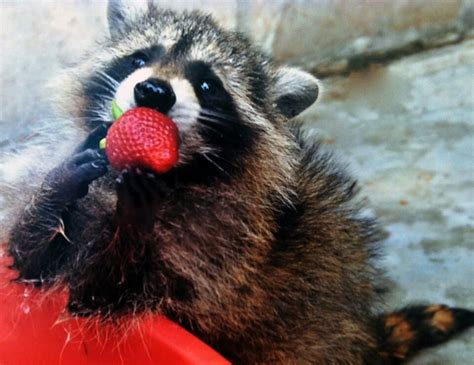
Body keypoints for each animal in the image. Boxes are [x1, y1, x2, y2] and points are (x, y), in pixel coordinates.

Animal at [1, 0, 472, 364]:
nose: (153, 91)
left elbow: (101, 292)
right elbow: (30, 262)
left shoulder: (220, 249)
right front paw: (60, 183)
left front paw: (132, 221)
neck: (178, 172)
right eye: (139, 58)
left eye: (207, 84)